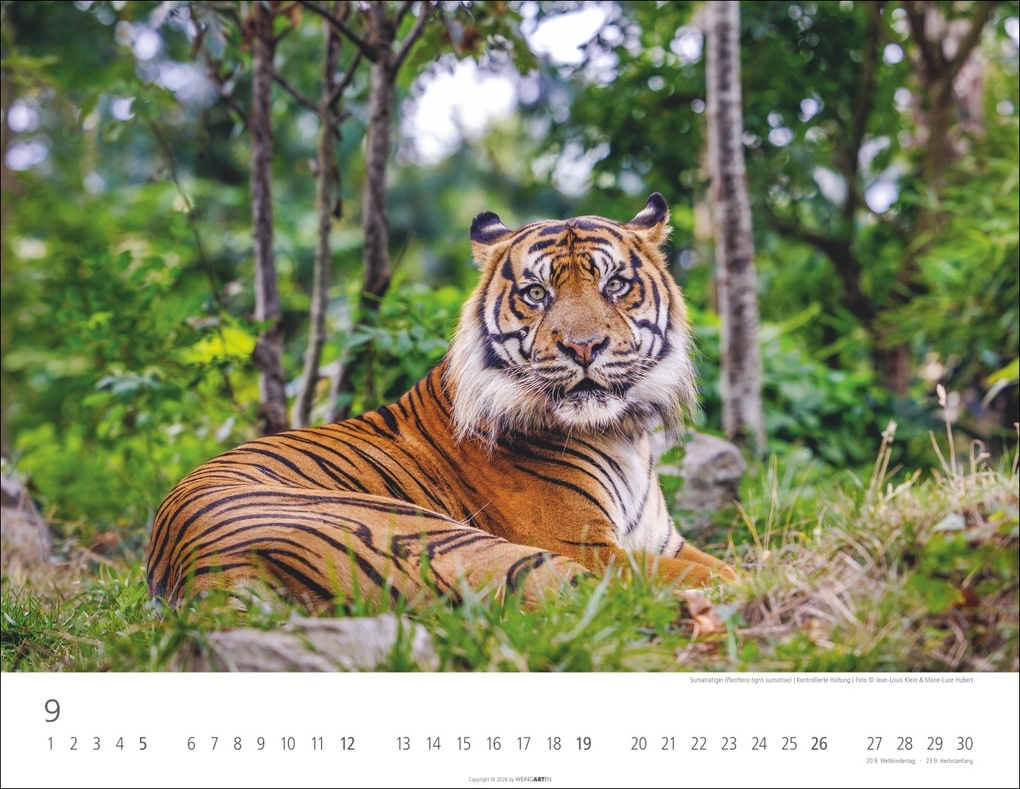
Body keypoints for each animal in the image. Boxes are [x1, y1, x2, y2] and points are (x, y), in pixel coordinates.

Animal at [146, 193, 738, 611]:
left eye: (614, 285)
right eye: (536, 294)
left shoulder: (664, 542)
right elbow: (722, 571)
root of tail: (198, 573)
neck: (621, 433)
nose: (584, 347)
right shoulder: (587, 545)